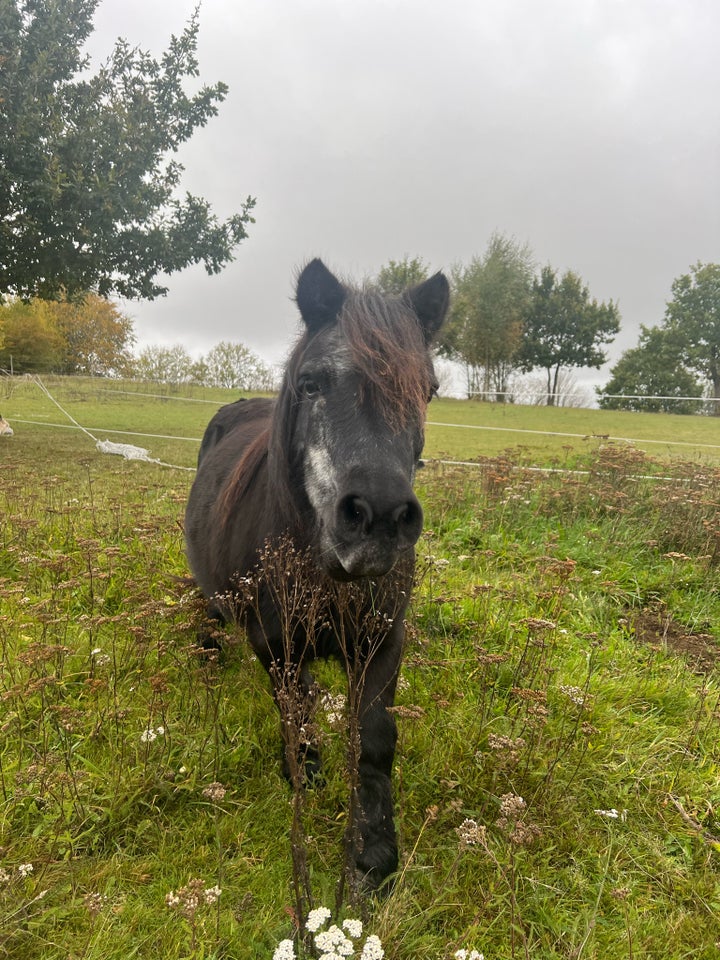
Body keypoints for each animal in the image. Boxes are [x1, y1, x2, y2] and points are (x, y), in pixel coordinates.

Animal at [183, 256, 448, 884]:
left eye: (428, 390)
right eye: (311, 383)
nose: (379, 517)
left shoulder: (382, 642)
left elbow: (374, 738)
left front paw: (373, 853)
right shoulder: (275, 644)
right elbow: (296, 710)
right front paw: (302, 772)